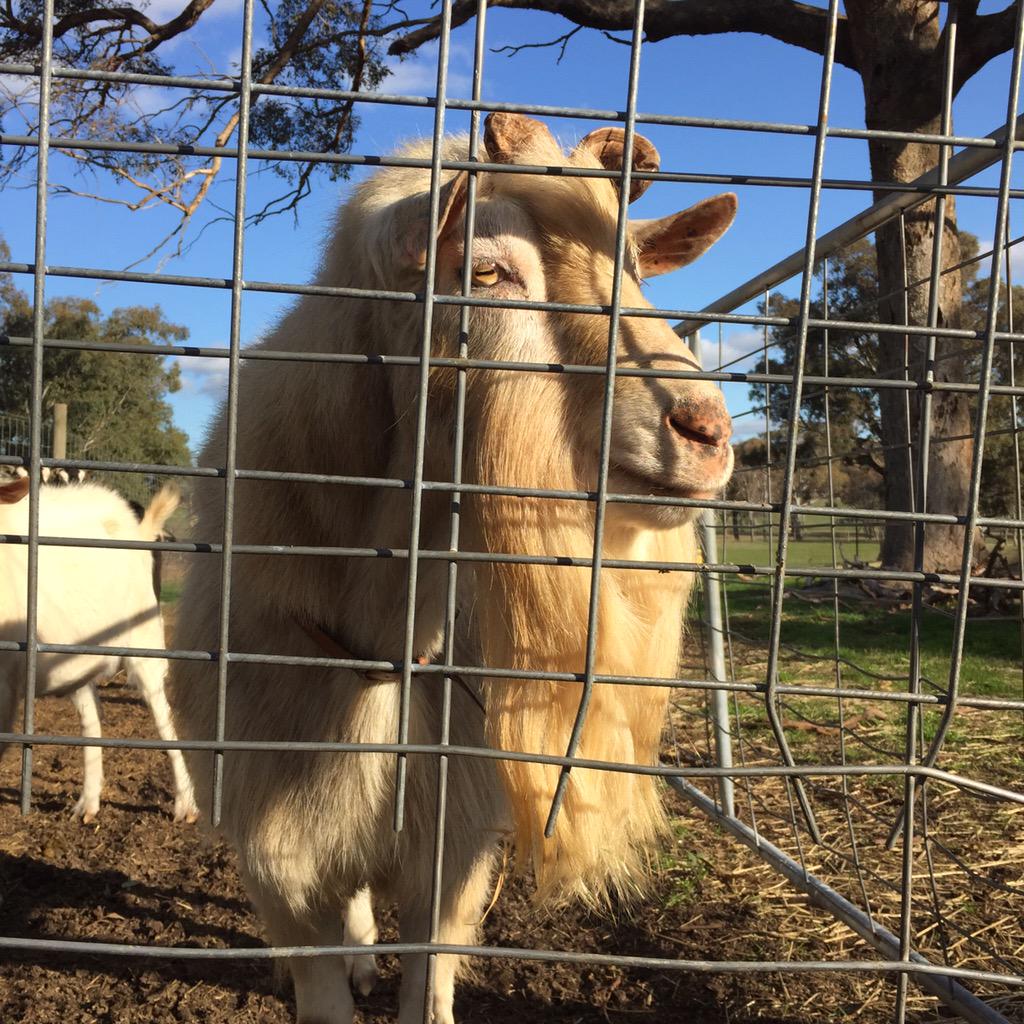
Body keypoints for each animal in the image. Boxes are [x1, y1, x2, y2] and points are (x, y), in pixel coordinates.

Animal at [168, 113, 735, 1024]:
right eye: (486, 270)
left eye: (635, 268)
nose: (708, 430)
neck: (381, 634)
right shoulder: (273, 850)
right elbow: (320, 981)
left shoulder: (455, 842)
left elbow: (429, 975)